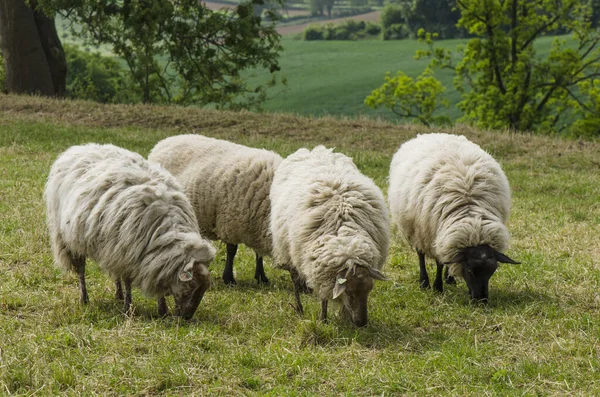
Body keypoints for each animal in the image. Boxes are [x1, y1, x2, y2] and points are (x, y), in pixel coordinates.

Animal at [45, 143, 218, 318]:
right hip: (70, 238)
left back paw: (118, 295)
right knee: (81, 269)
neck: (164, 233)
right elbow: (128, 280)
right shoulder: (129, 252)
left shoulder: (142, 256)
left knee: (114, 272)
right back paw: (85, 299)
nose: (187, 317)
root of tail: (79, 147)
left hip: (112, 245)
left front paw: (162, 310)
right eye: (191, 285)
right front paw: (129, 308)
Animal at [149, 133, 282, 284]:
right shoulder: (229, 221)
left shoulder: (256, 226)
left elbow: (258, 253)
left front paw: (261, 277)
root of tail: (163, 142)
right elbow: (232, 250)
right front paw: (229, 278)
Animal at [268, 145, 390, 324]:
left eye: (369, 290)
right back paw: (299, 308)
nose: (361, 323)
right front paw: (323, 319)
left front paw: (345, 317)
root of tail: (313, 150)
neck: (344, 237)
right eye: (349, 293)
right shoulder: (319, 269)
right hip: (287, 249)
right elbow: (324, 296)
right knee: (295, 279)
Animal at [386, 131, 516, 302]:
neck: (471, 216)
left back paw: (450, 278)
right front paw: (437, 287)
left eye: (492, 271)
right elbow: (439, 262)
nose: (481, 301)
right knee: (421, 255)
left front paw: (448, 279)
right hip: (416, 230)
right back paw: (424, 282)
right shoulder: (431, 233)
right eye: (470, 270)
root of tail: (431, 133)